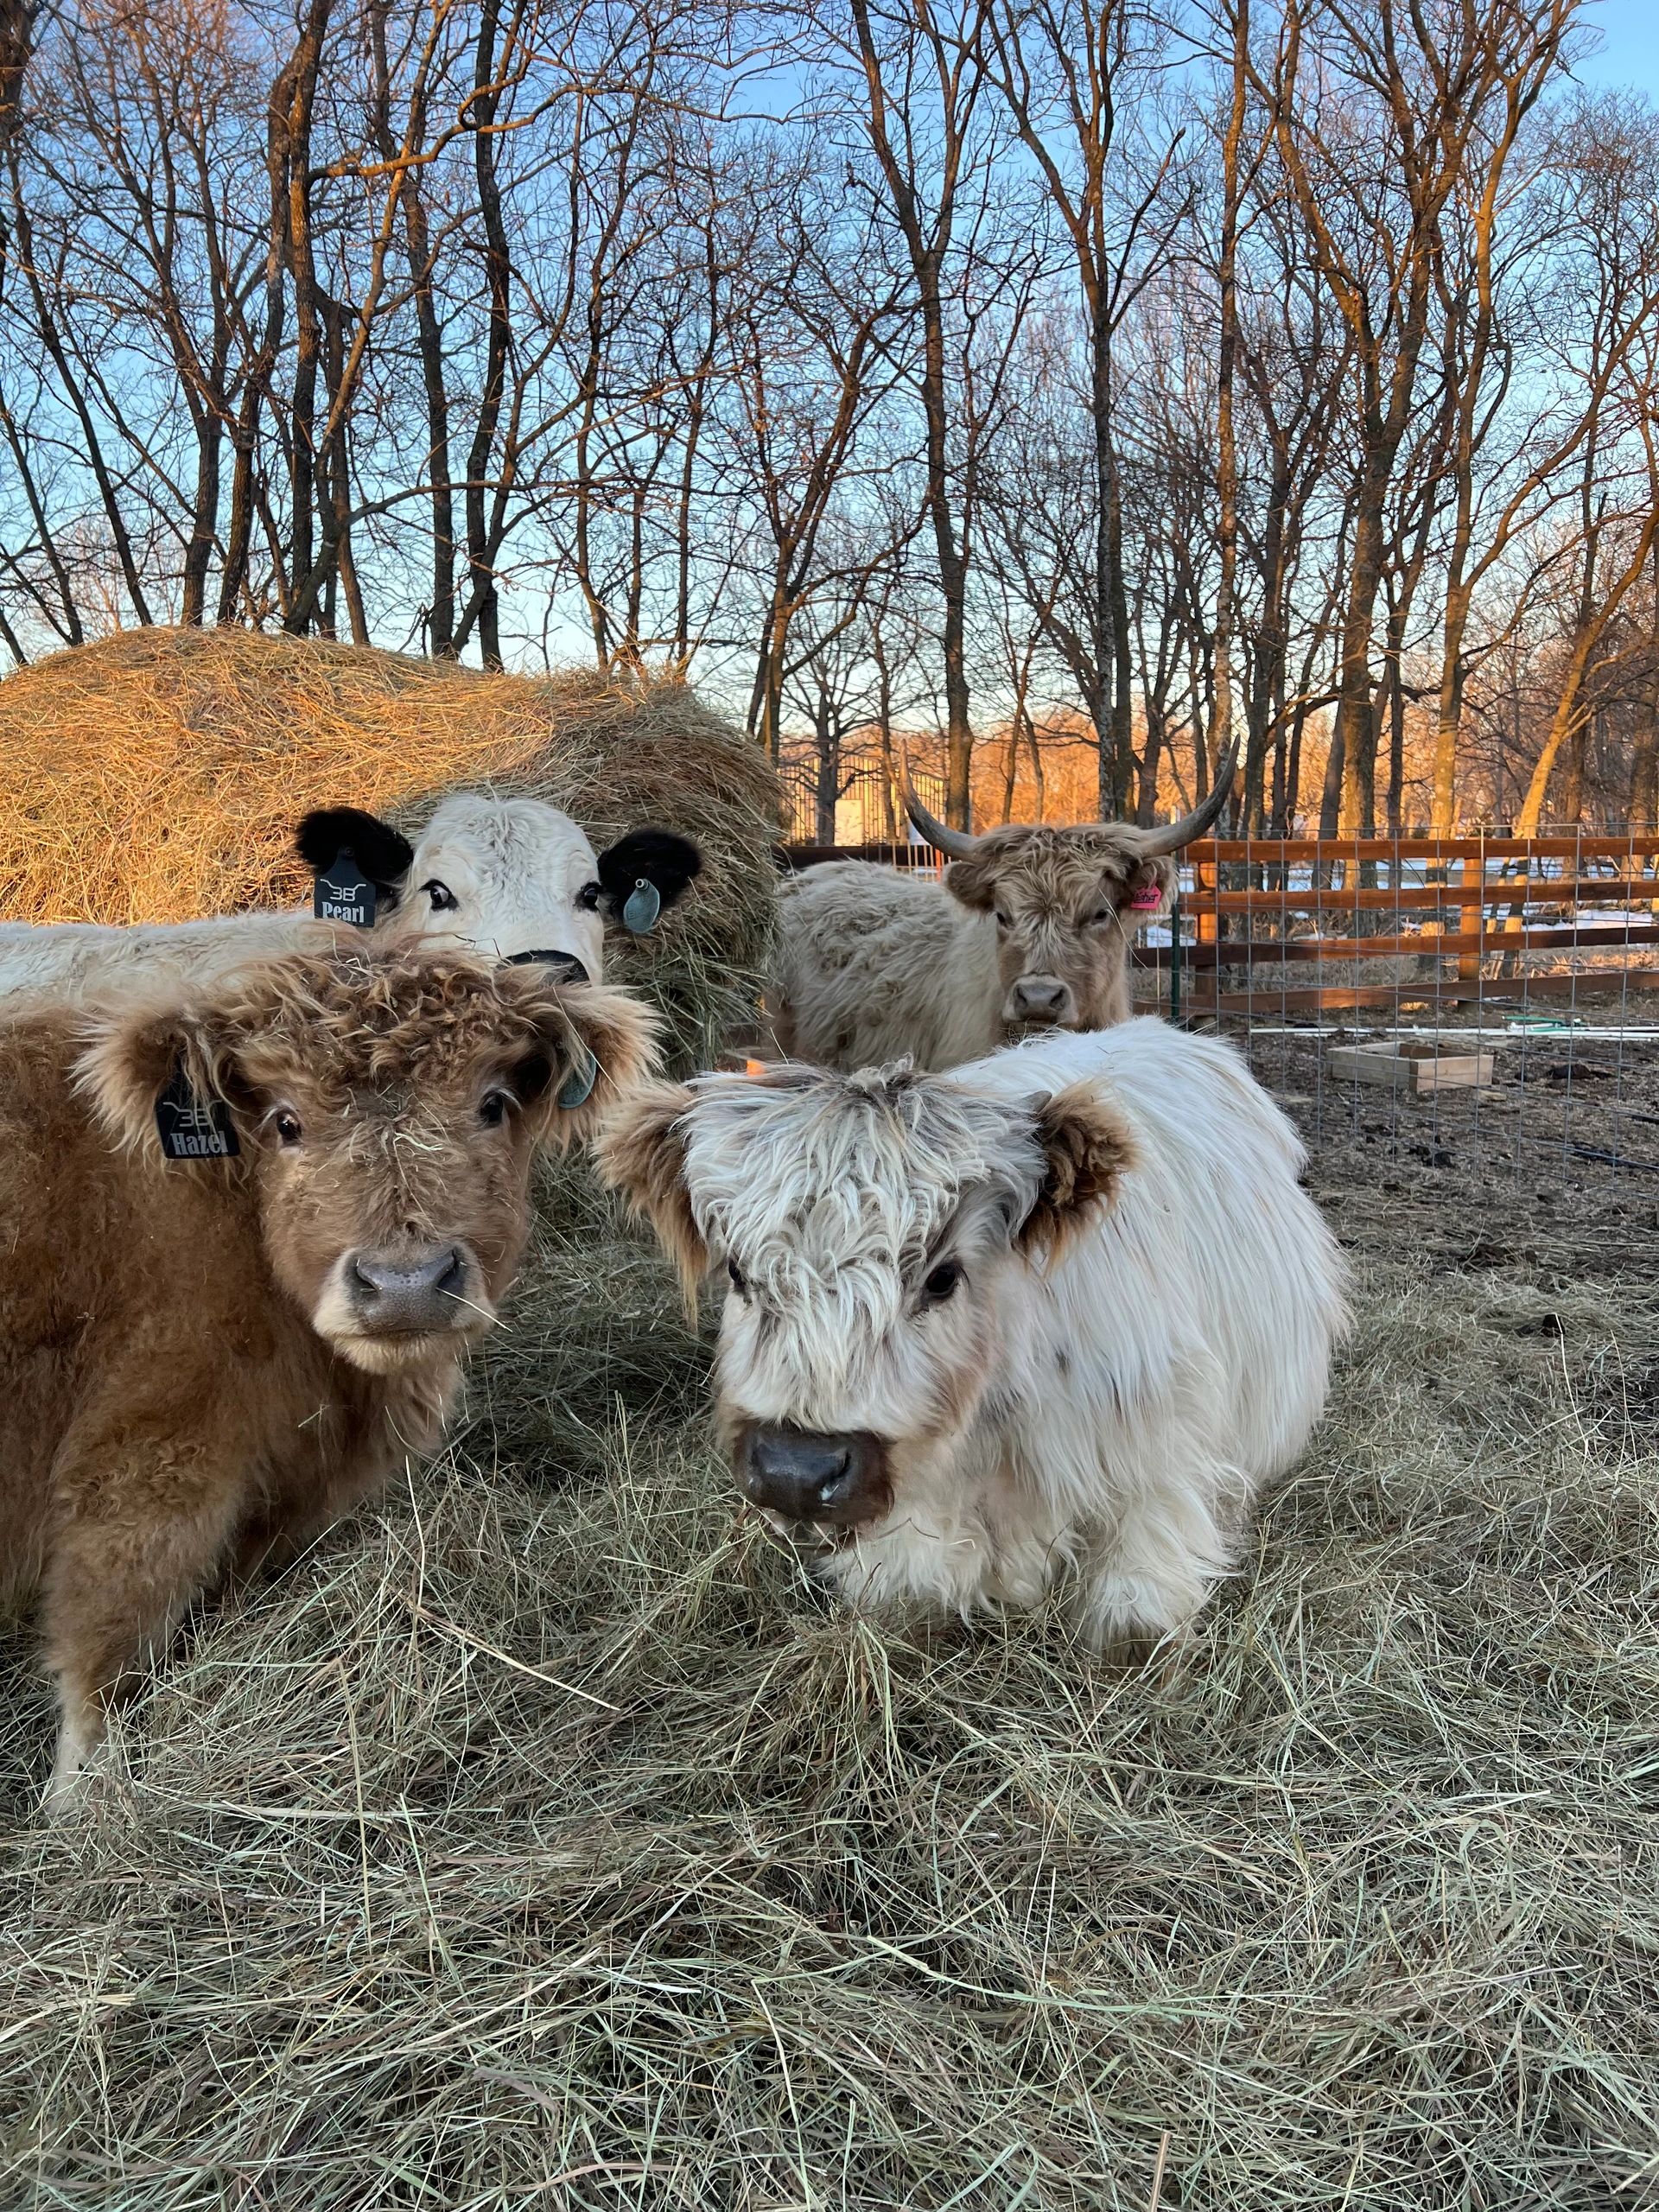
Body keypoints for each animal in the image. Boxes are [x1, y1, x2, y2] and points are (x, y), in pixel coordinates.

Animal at [0, 942, 664, 1804]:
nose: (406, 1283)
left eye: (491, 1104)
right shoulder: (147, 1476)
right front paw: (87, 1811)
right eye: (286, 1121)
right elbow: (103, 1667)